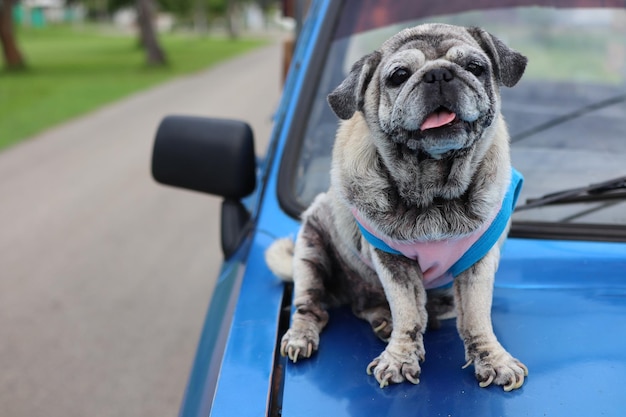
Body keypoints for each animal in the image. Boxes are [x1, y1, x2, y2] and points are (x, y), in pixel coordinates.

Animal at [264, 23, 528, 390]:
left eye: (475, 67)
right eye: (399, 76)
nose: (439, 73)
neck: (435, 192)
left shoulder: (478, 261)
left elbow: (476, 315)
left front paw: (492, 359)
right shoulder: (393, 261)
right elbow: (407, 311)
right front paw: (400, 357)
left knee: (380, 306)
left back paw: (386, 319)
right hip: (309, 250)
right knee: (312, 306)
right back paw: (305, 336)